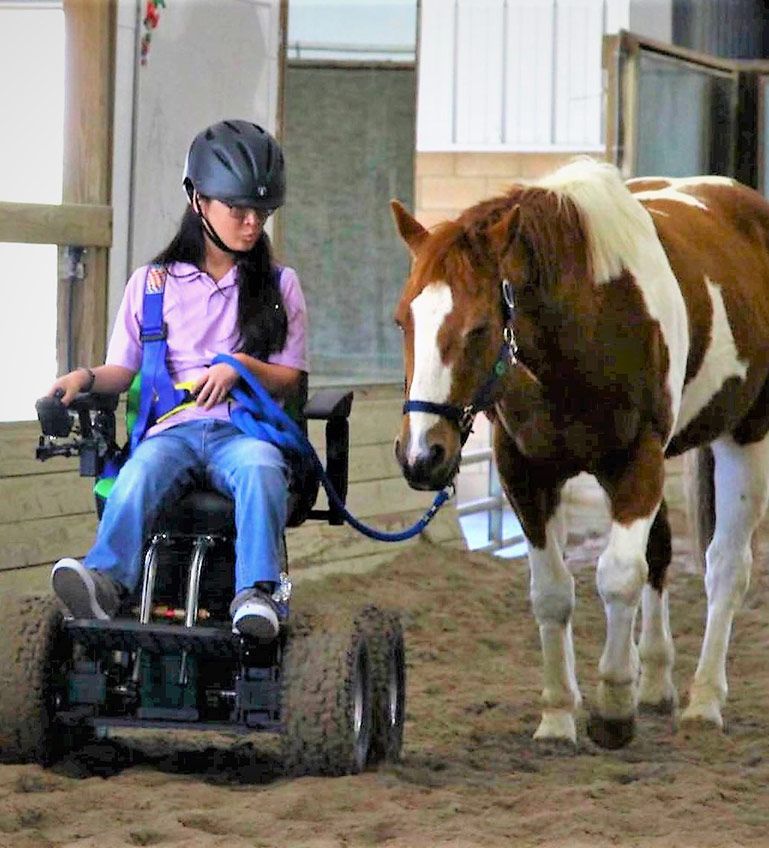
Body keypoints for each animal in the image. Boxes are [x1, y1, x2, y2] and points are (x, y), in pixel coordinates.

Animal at [390, 158, 769, 749]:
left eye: (479, 328)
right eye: (402, 321)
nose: (421, 455)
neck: (586, 320)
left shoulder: (637, 462)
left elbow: (617, 575)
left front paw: (612, 708)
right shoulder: (526, 473)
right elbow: (553, 591)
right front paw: (558, 715)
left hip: (745, 436)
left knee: (725, 567)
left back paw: (704, 701)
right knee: (662, 554)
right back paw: (655, 681)